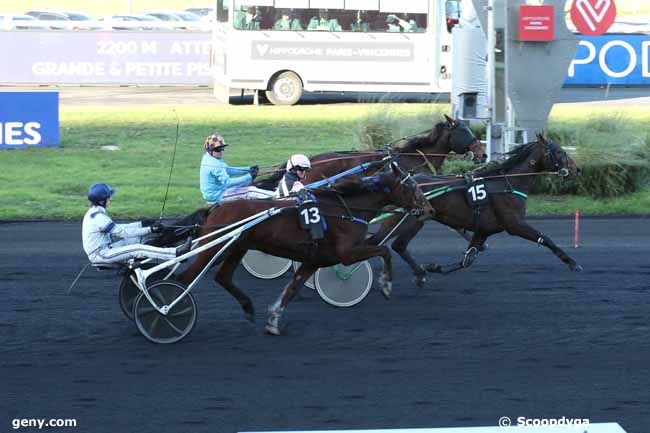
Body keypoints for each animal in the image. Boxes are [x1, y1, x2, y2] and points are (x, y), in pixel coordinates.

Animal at [177, 162, 430, 334]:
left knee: (222, 277)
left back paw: (248, 307)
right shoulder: (346, 253)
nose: (428, 209)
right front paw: (386, 285)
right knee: (184, 278)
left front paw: (273, 321)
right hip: (214, 247)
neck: (345, 210)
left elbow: (292, 288)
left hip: (235, 247)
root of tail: (215, 208)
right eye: (412, 185)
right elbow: (384, 251)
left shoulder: (315, 260)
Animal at [364, 133, 584, 278]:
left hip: (408, 220)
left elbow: (466, 261)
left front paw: (434, 267)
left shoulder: (483, 231)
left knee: (389, 244)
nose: (577, 170)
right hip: (409, 220)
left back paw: (419, 272)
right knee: (384, 243)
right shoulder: (514, 224)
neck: (507, 183)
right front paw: (573, 263)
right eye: (558, 151)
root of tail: (397, 180)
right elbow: (545, 238)